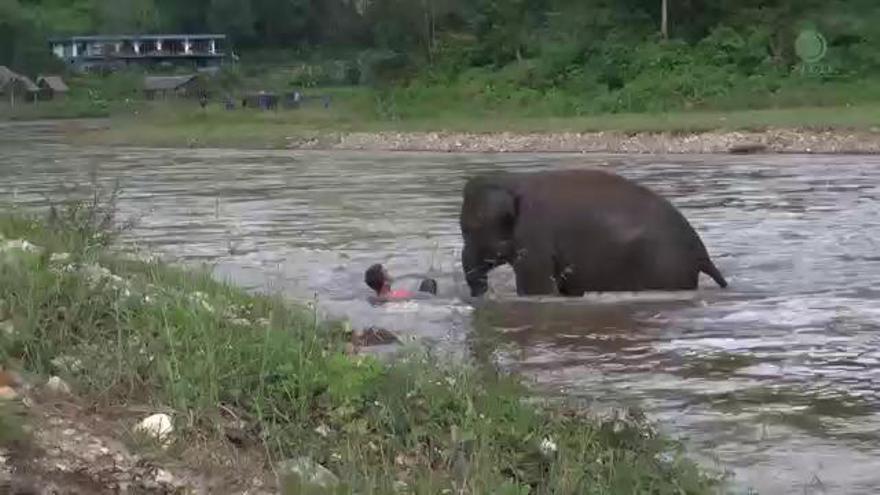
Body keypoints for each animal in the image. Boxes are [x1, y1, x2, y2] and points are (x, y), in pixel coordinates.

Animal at [458, 169, 724, 296]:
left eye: (470, 230)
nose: (481, 297)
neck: (511, 181)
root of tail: (701, 253)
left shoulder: (533, 238)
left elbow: (536, 288)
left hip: (665, 268)